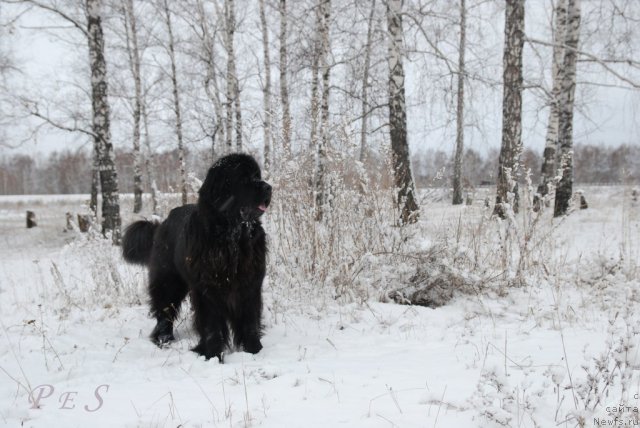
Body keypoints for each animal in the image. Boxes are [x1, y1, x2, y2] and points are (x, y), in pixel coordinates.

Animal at [121, 154, 272, 362]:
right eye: (244, 179)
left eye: (257, 175)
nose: (268, 187)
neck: (231, 237)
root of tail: (162, 223)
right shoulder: (207, 289)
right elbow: (211, 325)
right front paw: (213, 354)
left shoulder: (250, 285)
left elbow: (249, 321)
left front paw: (254, 350)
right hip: (168, 281)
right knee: (164, 311)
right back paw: (163, 339)